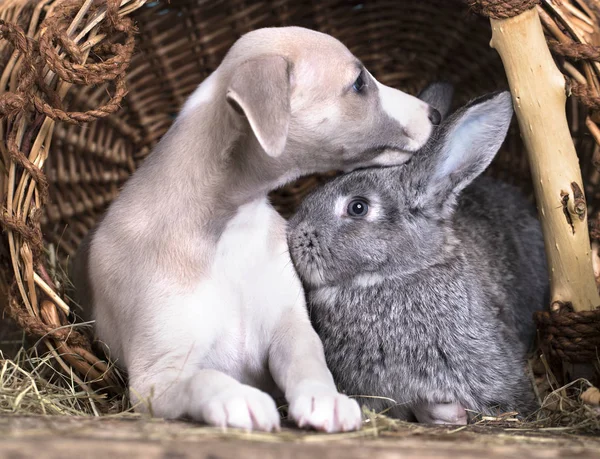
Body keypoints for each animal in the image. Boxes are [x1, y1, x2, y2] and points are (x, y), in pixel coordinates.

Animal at [72, 27, 440, 434]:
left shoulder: (289, 328)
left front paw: (325, 400)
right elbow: (205, 378)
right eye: (359, 82)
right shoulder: (155, 377)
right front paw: (238, 399)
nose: (435, 114)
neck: (227, 232)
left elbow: (310, 364)